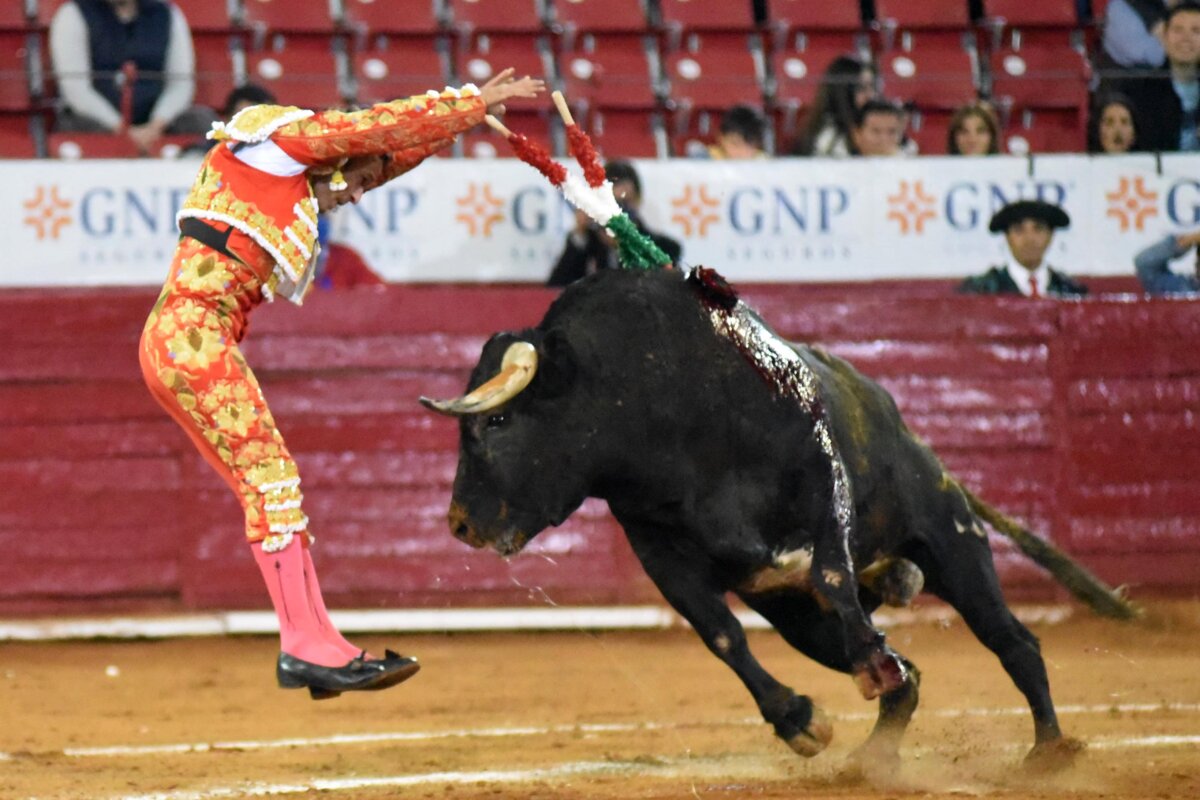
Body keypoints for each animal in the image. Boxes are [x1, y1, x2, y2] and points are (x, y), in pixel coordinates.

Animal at [421, 267, 1085, 773]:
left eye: (495, 422)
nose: (459, 524)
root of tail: (908, 431)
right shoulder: (656, 546)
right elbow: (721, 633)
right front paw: (800, 721)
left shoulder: (820, 479)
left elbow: (832, 574)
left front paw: (870, 668)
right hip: (798, 620)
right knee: (912, 677)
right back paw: (870, 761)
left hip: (950, 540)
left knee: (1011, 640)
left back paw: (1047, 751)